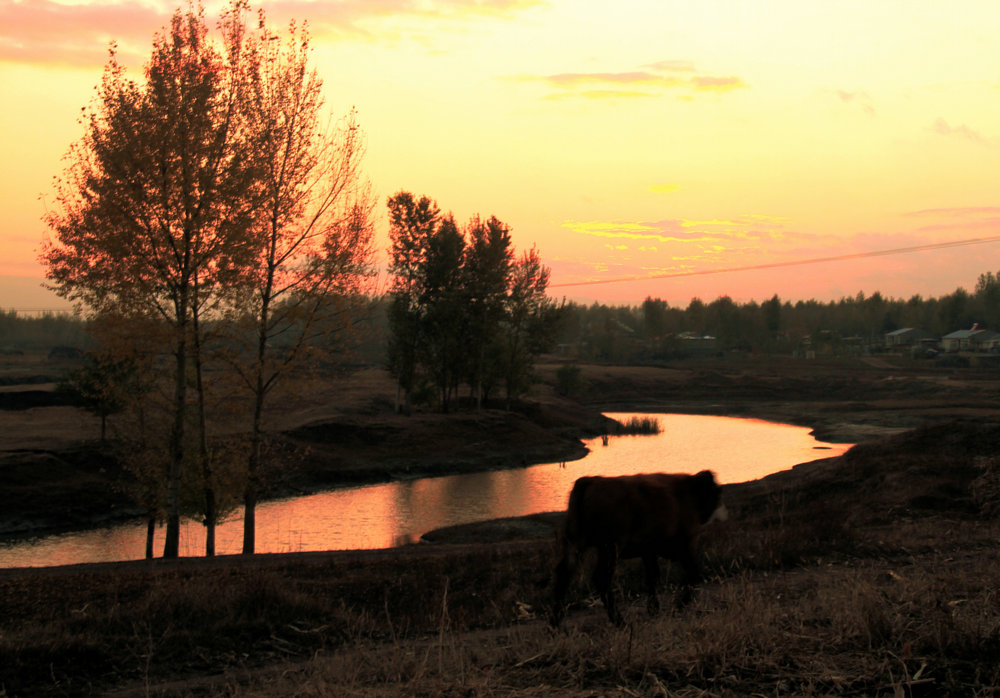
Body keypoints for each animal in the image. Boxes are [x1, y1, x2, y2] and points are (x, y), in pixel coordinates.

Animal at [552, 468, 732, 624]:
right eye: (718, 494)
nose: (725, 513)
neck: (688, 492)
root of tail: (590, 481)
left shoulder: (649, 551)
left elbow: (653, 576)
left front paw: (654, 608)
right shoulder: (686, 544)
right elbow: (694, 574)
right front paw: (679, 605)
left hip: (578, 545)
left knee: (564, 574)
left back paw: (556, 624)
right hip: (610, 549)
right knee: (600, 578)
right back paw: (619, 621)